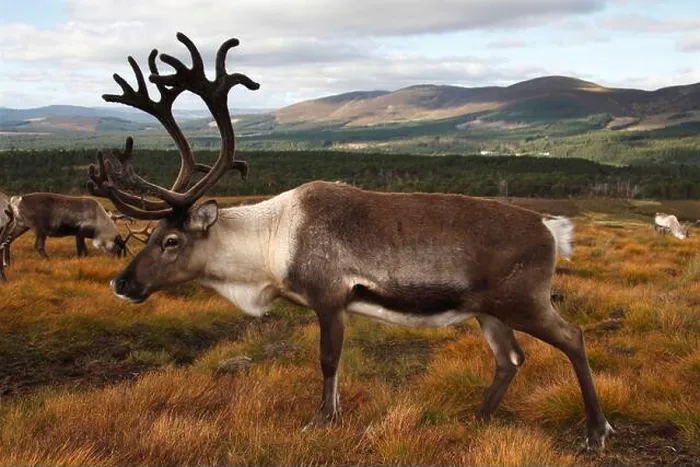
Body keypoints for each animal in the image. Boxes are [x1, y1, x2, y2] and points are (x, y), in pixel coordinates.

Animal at [88, 33, 613, 450]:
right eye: (151, 234)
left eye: (172, 240)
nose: (120, 283)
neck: (269, 245)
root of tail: (551, 228)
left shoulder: (330, 297)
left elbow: (328, 362)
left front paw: (322, 420)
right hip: (489, 311)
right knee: (510, 359)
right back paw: (477, 418)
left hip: (524, 301)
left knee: (572, 337)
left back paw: (596, 429)